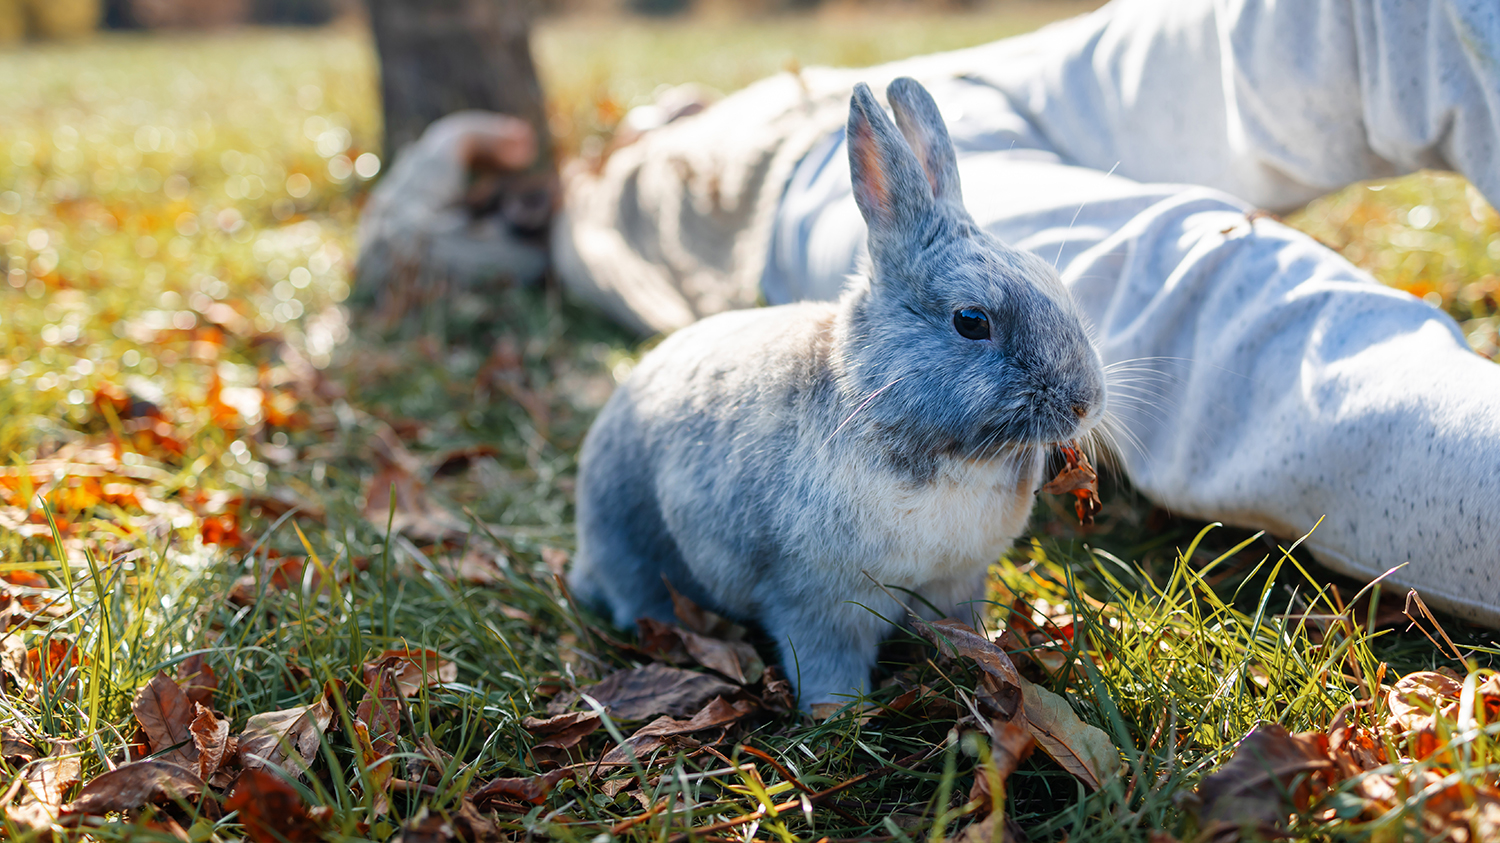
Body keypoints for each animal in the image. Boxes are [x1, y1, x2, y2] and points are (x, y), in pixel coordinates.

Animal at [567, 78, 1110, 705]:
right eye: (971, 321)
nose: (1086, 402)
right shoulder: (817, 598)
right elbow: (825, 655)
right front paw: (835, 708)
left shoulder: (955, 581)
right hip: (632, 543)